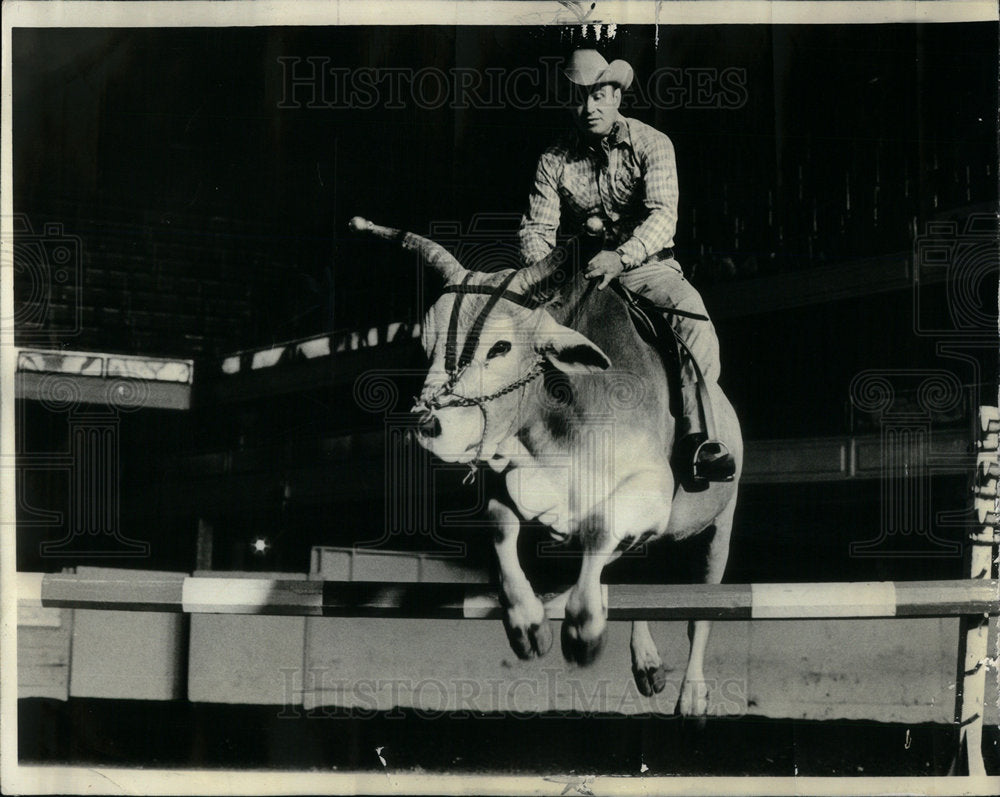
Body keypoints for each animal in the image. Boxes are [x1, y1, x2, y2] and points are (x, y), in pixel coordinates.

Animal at [348, 215, 740, 712]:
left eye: (499, 347)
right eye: (426, 344)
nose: (429, 424)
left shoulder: (648, 490)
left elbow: (599, 527)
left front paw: (583, 628)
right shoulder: (519, 488)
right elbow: (500, 526)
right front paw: (528, 624)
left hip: (717, 530)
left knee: (700, 611)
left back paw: (691, 695)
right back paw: (646, 661)